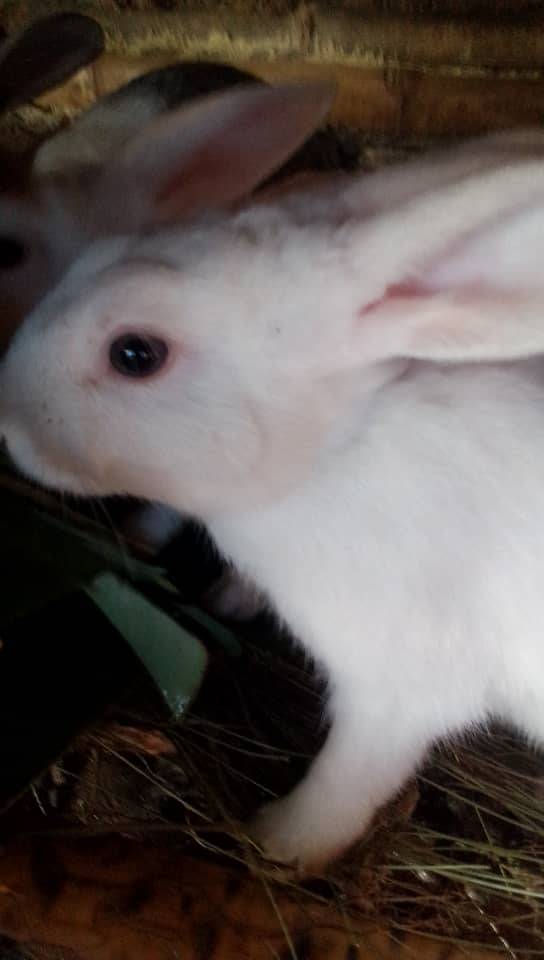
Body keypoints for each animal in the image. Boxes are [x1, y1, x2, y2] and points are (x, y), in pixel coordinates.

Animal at [7, 82, 544, 876]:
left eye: (136, 354)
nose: (7, 422)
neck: (333, 456)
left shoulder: (397, 693)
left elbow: (346, 783)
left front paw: (277, 842)